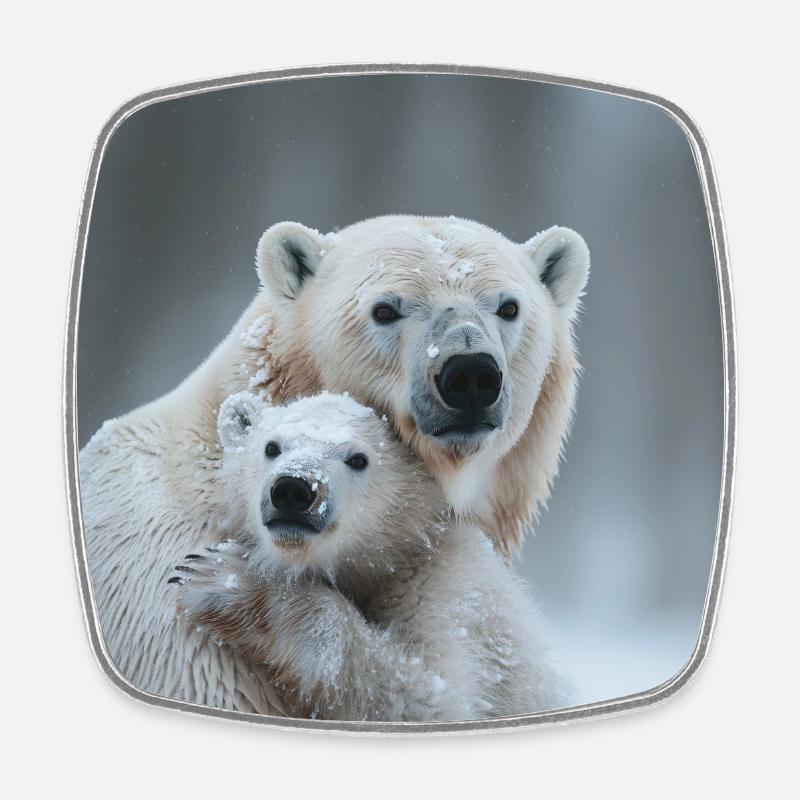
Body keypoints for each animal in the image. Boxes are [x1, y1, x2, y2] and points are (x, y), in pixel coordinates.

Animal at [171, 390, 566, 721]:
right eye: (272, 447)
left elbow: (432, 701)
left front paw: (224, 579)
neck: (381, 559)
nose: (293, 489)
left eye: (358, 458)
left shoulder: (448, 588)